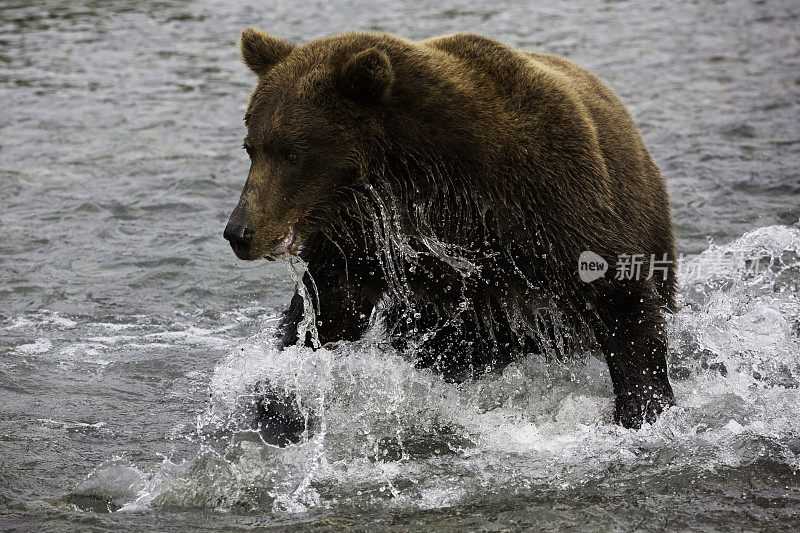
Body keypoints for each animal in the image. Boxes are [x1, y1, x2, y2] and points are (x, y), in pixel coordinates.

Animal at [223, 28, 676, 432]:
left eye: (291, 153)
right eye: (252, 148)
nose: (239, 232)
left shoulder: (545, 191)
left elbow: (618, 297)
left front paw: (644, 407)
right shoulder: (366, 235)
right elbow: (329, 307)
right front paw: (279, 391)